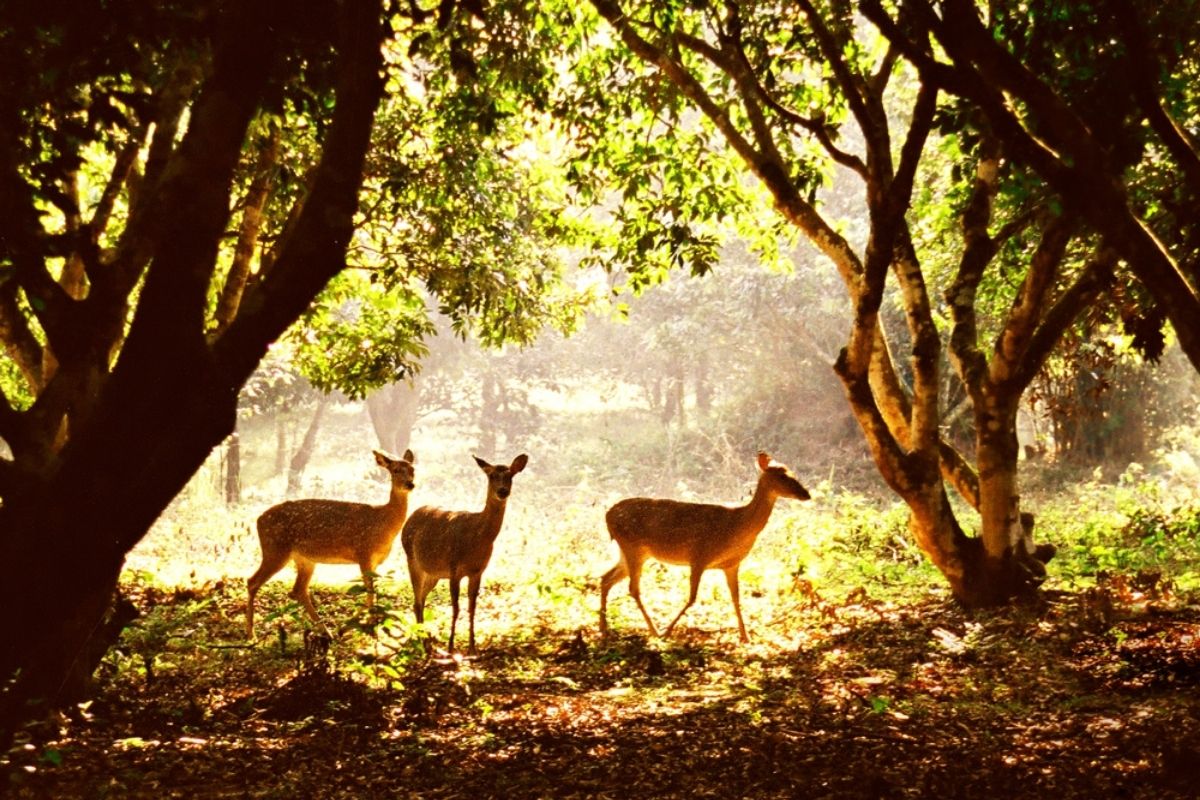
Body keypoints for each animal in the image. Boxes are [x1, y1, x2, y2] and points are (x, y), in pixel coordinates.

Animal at [244, 450, 417, 638]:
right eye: (396, 470)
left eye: (412, 469)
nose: (410, 484)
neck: (384, 522)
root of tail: (258, 520)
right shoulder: (363, 552)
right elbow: (370, 592)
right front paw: (371, 629)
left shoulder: (375, 561)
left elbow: (370, 592)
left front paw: (346, 627)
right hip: (275, 549)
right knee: (252, 582)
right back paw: (251, 633)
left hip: (304, 559)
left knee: (298, 590)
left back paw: (326, 631)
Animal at [400, 453, 528, 652]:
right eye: (491, 475)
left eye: (510, 476)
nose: (503, 491)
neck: (477, 538)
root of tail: (410, 517)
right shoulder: (454, 569)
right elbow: (456, 608)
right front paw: (451, 647)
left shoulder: (478, 571)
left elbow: (472, 608)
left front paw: (472, 647)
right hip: (411, 559)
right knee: (417, 601)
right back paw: (423, 644)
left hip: (433, 573)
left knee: (420, 600)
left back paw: (427, 642)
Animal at [604, 453, 811, 642]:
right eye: (783, 476)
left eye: (792, 472)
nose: (806, 494)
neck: (738, 525)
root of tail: (607, 515)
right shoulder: (699, 555)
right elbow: (692, 598)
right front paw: (667, 631)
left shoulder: (731, 564)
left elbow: (736, 598)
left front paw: (745, 636)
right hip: (632, 547)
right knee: (632, 588)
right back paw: (654, 631)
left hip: (634, 552)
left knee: (606, 578)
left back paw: (604, 628)